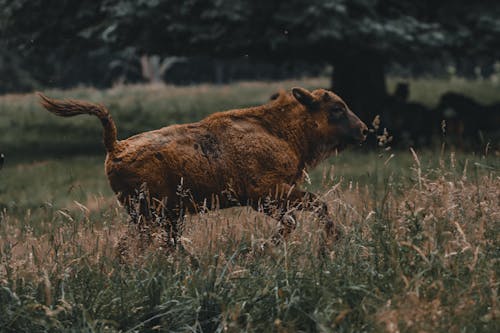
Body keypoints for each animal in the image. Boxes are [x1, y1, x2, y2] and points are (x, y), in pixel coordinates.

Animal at [39, 88, 368, 249]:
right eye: (336, 108)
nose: (364, 130)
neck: (277, 129)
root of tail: (116, 146)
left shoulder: (269, 199)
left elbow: (299, 216)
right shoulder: (269, 194)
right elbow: (313, 208)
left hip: (161, 214)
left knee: (157, 243)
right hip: (154, 213)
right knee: (144, 243)